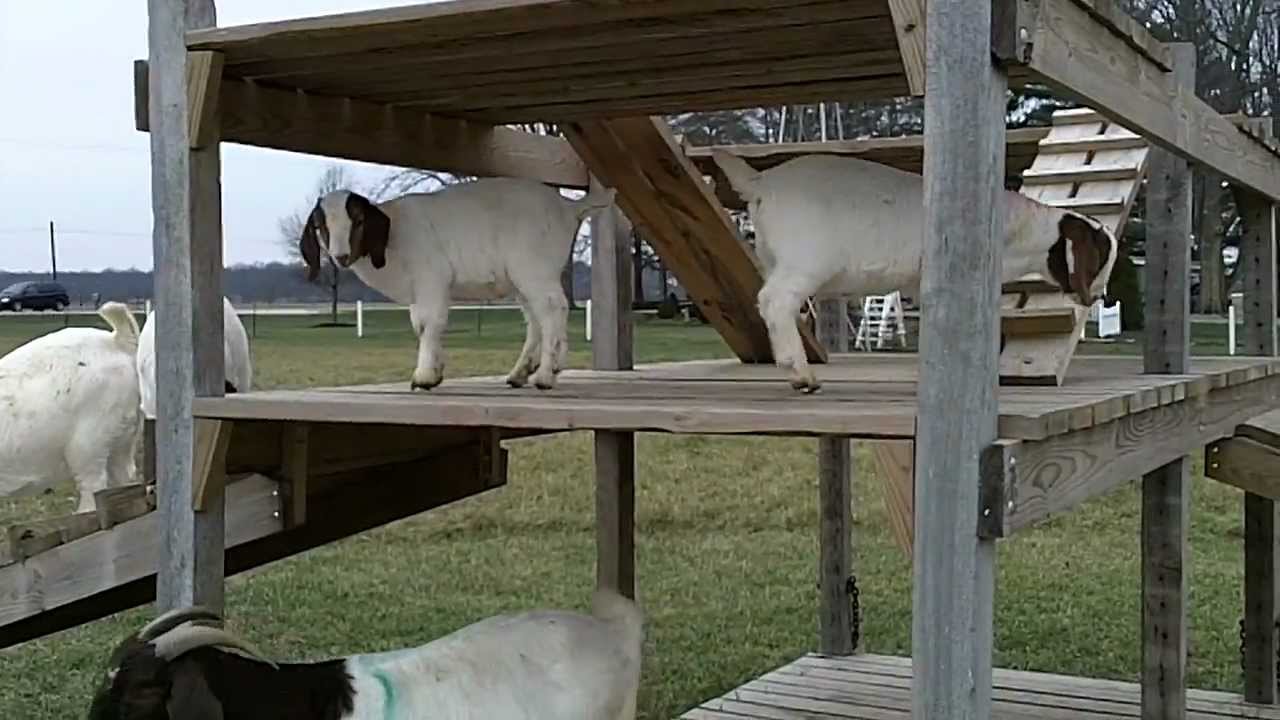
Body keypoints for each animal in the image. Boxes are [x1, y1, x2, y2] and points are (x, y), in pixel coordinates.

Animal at [711, 147, 1121, 389]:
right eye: (1100, 257)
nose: (1098, 297)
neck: (1018, 229)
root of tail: (760, 181)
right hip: (805, 259)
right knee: (775, 300)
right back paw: (800, 373)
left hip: (775, 258)